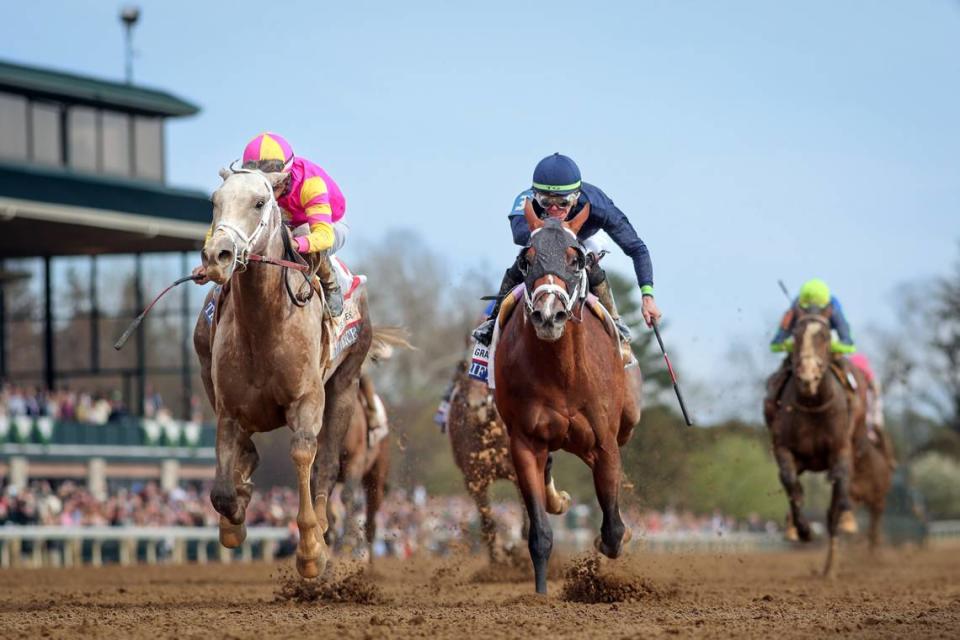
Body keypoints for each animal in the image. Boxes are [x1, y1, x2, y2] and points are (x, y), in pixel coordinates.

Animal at [492, 201, 640, 596]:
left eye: (575, 260)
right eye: (526, 260)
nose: (548, 314)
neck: (561, 373)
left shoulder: (604, 441)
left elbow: (613, 530)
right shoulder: (524, 441)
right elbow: (539, 534)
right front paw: (542, 595)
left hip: (624, 423)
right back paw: (557, 498)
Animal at [764, 312, 892, 580]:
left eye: (824, 336)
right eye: (796, 335)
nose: (807, 376)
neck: (812, 404)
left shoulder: (840, 453)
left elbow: (837, 504)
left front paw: (833, 560)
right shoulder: (785, 450)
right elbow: (792, 485)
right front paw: (802, 530)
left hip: (875, 493)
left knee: (858, 516)